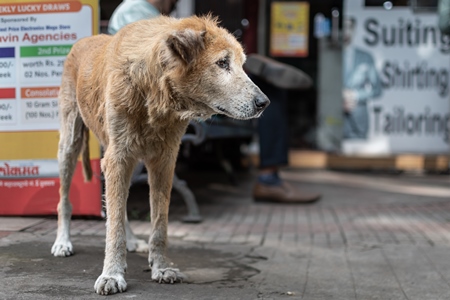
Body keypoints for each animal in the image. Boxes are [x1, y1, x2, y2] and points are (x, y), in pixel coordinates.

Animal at [51, 15, 268, 294]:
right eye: (222, 63)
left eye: (242, 64)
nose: (264, 103)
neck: (154, 91)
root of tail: (86, 39)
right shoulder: (118, 158)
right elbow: (114, 226)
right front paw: (111, 273)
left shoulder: (163, 161)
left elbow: (159, 223)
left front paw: (161, 267)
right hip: (70, 144)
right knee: (65, 199)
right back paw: (63, 241)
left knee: (119, 206)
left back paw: (132, 240)